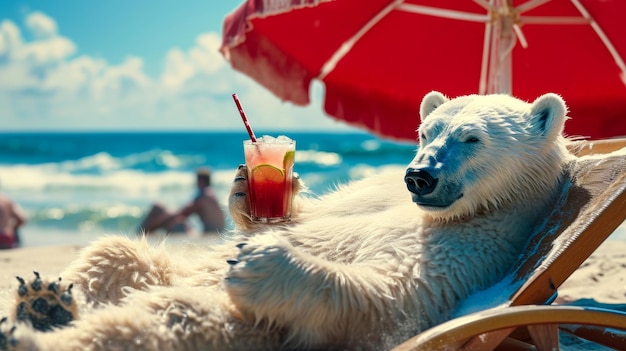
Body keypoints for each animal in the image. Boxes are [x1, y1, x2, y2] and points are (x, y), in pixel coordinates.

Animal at [1, 92, 572, 350]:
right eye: (426, 132)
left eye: (472, 138)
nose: (419, 176)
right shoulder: (371, 192)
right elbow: (302, 215)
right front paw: (249, 192)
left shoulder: (474, 246)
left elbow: (389, 298)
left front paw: (264, 264)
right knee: (114, 255)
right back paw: (45, 300)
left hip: (241, 327)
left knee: (167, 313)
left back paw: (35, 331)